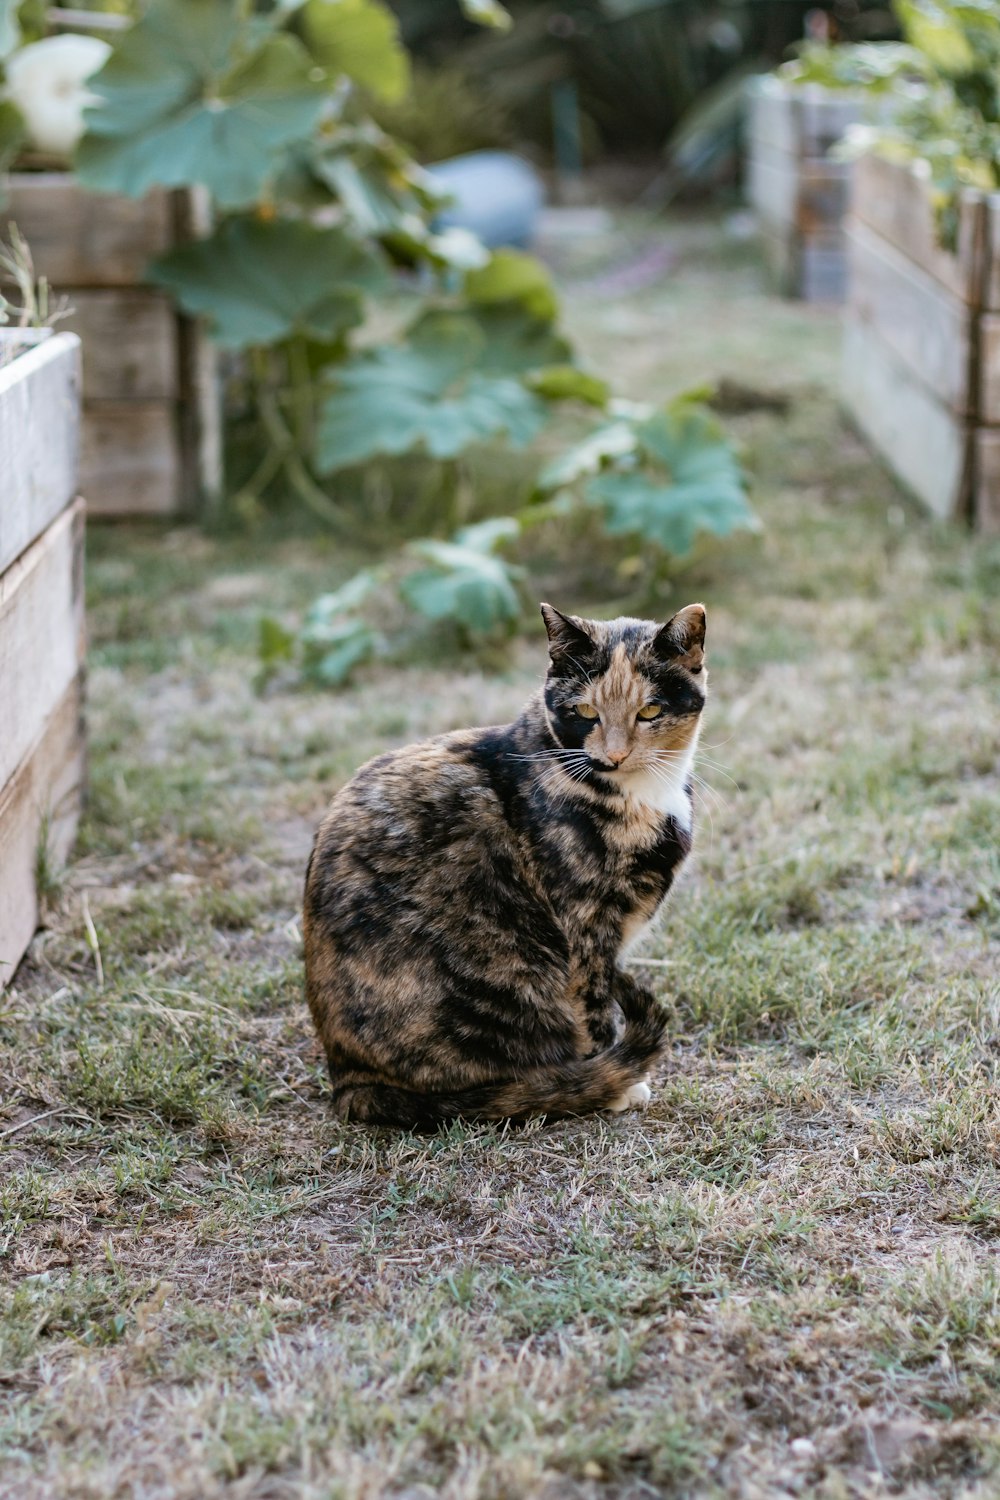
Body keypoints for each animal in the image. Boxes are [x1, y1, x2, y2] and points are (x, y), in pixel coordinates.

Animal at [301, 597, 707, 1128]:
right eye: (585, 711)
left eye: (650, 710)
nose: (613, 756)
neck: (641, 795)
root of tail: (349, 1083)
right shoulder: (585, 931)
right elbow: (595, 1011)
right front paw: (615, 1085)